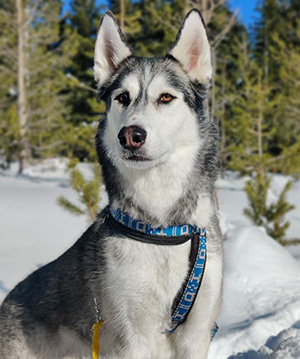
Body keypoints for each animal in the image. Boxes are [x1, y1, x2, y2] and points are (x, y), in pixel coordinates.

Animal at [0, 8, 221, 359]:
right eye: (122, 98)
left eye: (166, 97)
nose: (130, 135)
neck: (162, 229)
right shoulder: (131, 338)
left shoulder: (196, 334)